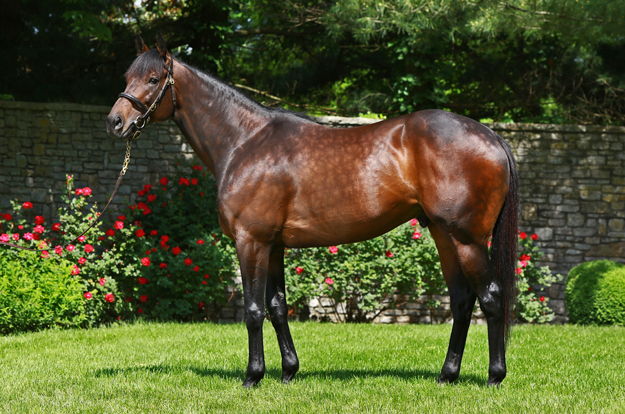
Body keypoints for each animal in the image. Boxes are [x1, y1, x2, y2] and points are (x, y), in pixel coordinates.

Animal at [106, 34, 516, 388]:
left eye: (153, 78)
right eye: (127, 77)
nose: (115, 122)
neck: (245, 142)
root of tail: (491, 136)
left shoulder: (251, 241)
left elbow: (253, 310)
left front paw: (253, 376)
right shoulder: (273, 246)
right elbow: (277, 307)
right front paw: (288, 371)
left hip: (468, 238)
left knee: (491, 296)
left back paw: (495, 377)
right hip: (442, 234)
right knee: (462, 299)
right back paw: (447, 375)